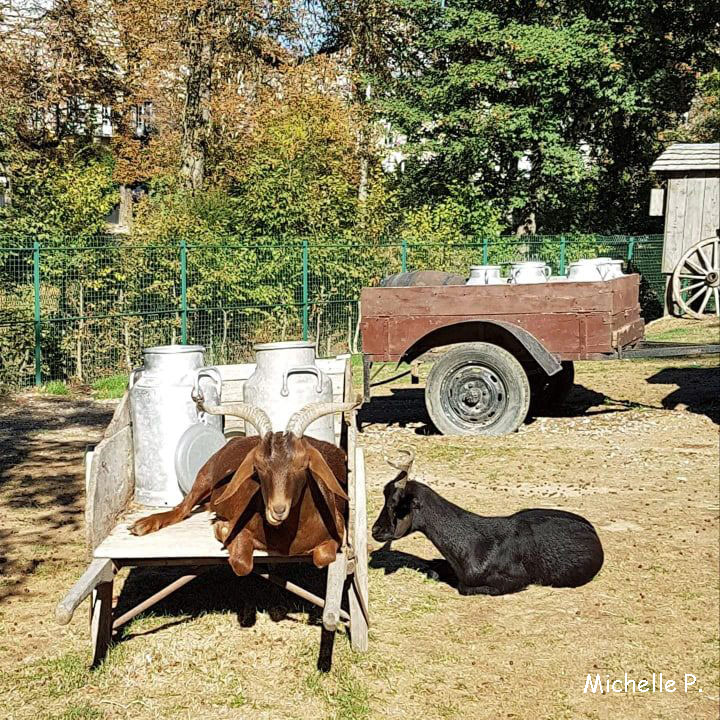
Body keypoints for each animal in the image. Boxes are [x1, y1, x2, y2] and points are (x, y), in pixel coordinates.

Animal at [131, 402, 358, 576]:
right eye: (258, 466)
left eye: (302, 465)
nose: (277, 510)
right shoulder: (239, 525)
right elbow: (242, 564)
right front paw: (221, 529)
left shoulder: (337, 532)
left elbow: (323, 558)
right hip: (205, 474)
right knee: (183, 508)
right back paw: (144, 524)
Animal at [374, 450, 604, 596]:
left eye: (395, 502)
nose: (375, 530)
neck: (472, 545)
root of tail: (593, 533)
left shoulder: (516, 578)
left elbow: (464, 588)